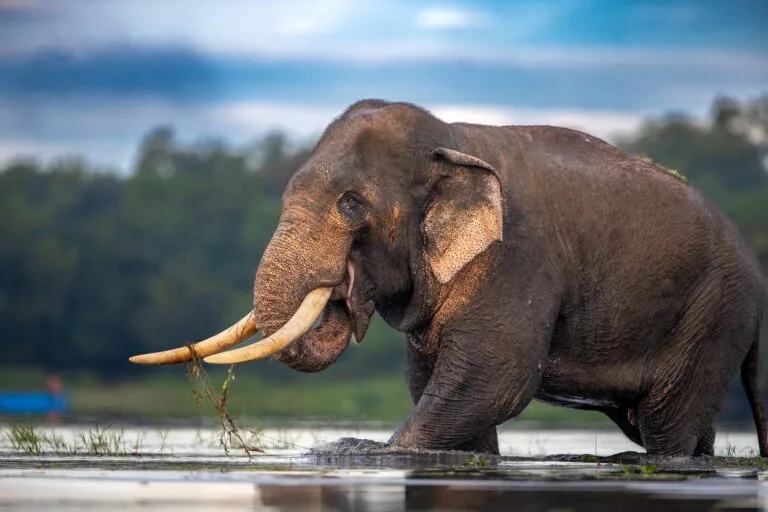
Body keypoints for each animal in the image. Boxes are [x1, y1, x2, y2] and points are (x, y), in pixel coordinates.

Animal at [131, 99, 767, 457]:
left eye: (352, 206)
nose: (341, 291)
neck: (453, 140)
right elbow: (436, 387)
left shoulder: (517, 258)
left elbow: (492, 381)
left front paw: (353, 450)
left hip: (713, 313)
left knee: (666, 423)